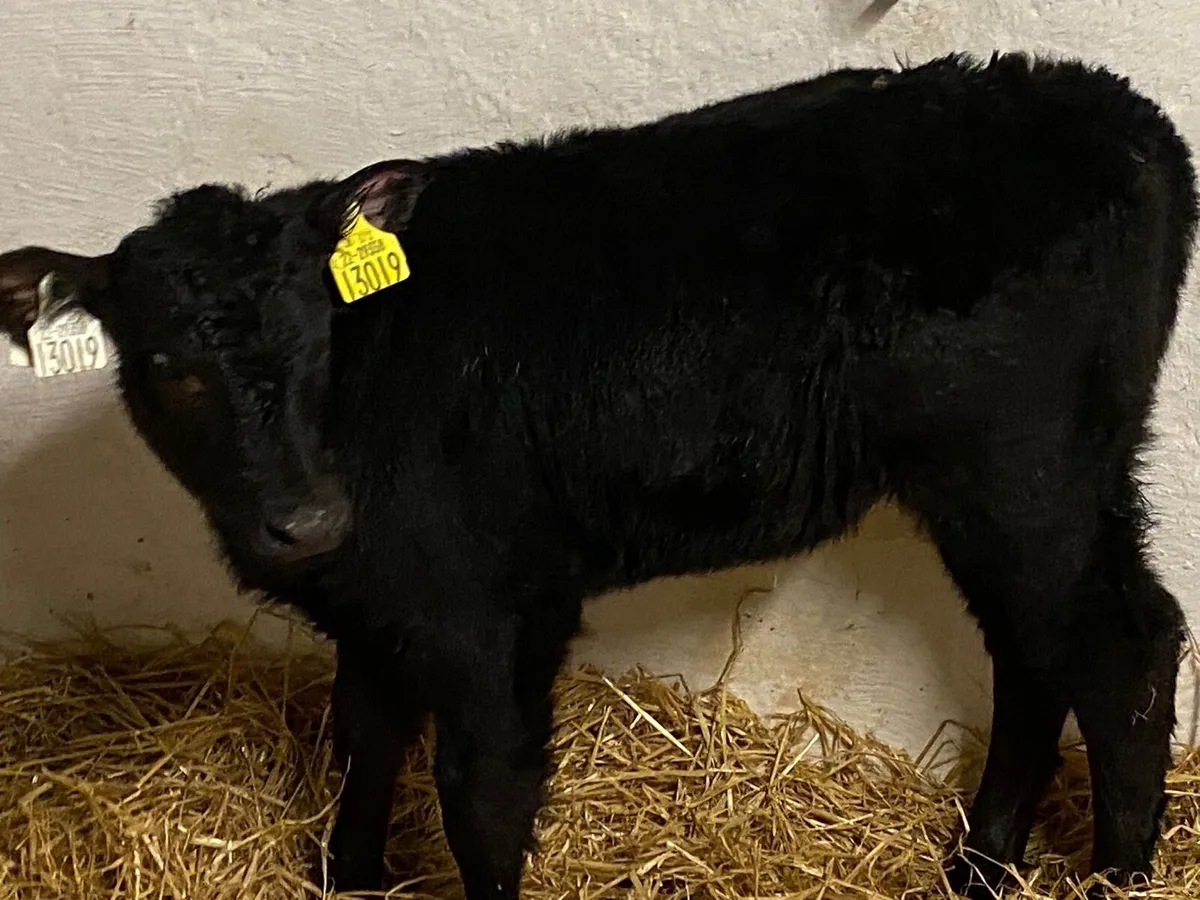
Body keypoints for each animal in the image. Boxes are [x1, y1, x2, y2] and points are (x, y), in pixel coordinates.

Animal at [0, 52, 1196, 899]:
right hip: (1032, 480)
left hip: (1026, 469)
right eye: (170, 366)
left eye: (320, 334)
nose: (305, 520)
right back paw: (982, 868)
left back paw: (1116, 877)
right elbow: (364, 745)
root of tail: (1122, 115)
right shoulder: (379, 610)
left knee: (1119, 643)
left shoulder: (485, 608)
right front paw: (350, 877)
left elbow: (481, 793)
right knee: (1040, 653)